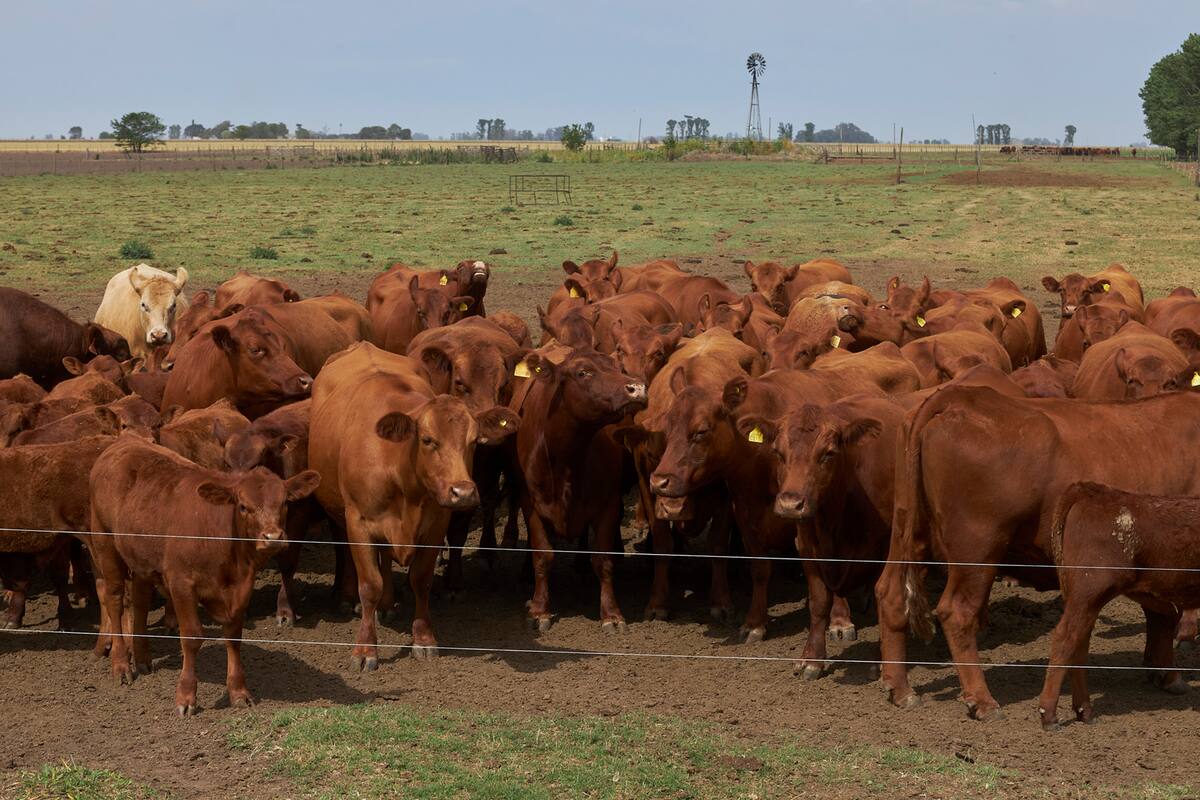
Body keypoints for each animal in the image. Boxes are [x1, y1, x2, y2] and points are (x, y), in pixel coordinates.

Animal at [88, 435, 319, 712]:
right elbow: (191, 636)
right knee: (114, 599)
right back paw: (121, 666)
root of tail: (124, 441)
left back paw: (143, 659)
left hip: (140, 556)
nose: (273, 537)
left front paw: (239, 692)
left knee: (140, 603)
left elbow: (233, 636)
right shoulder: (181, 583)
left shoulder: (241, 588)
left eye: (284, 503)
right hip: (105, 542)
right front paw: (186, 696)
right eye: (243, 506)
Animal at [309, 343, 518, 669]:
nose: (463, 492)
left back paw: (388, 604)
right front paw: (365, 648)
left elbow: (421, 580)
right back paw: (348, 597)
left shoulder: (435, 526)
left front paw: (423, 637)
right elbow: (369, 585)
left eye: (473, 441)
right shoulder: (359, 523)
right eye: (428, 440)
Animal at [1039, 483, 1200, 729]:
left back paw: (1084, 710)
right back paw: (1048, 714)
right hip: (1088, 594)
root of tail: (1093, 492)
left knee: (1079, 643)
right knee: (1065, 639)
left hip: (1087, 603)